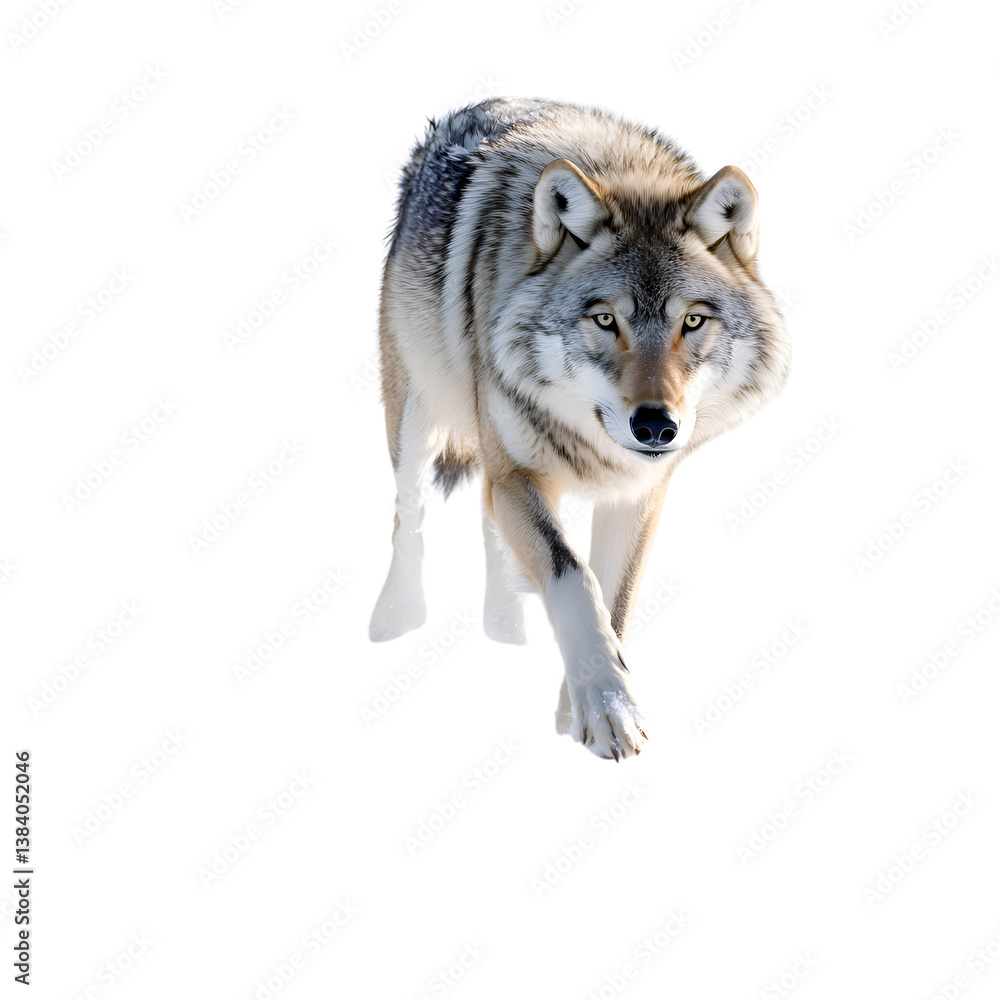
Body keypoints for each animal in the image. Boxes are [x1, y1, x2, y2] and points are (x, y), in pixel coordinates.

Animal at [369, 98, 789, 760]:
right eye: (606, 320)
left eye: (692, 321)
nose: (655, 426)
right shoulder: (517, 472)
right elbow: (572, 576)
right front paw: (607, 706)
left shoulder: (638, 495)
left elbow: (614, 599)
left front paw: (583, 706)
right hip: (416, 417)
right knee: (408, 516)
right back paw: (397, 617)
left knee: (489, 528)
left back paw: (504, 632)